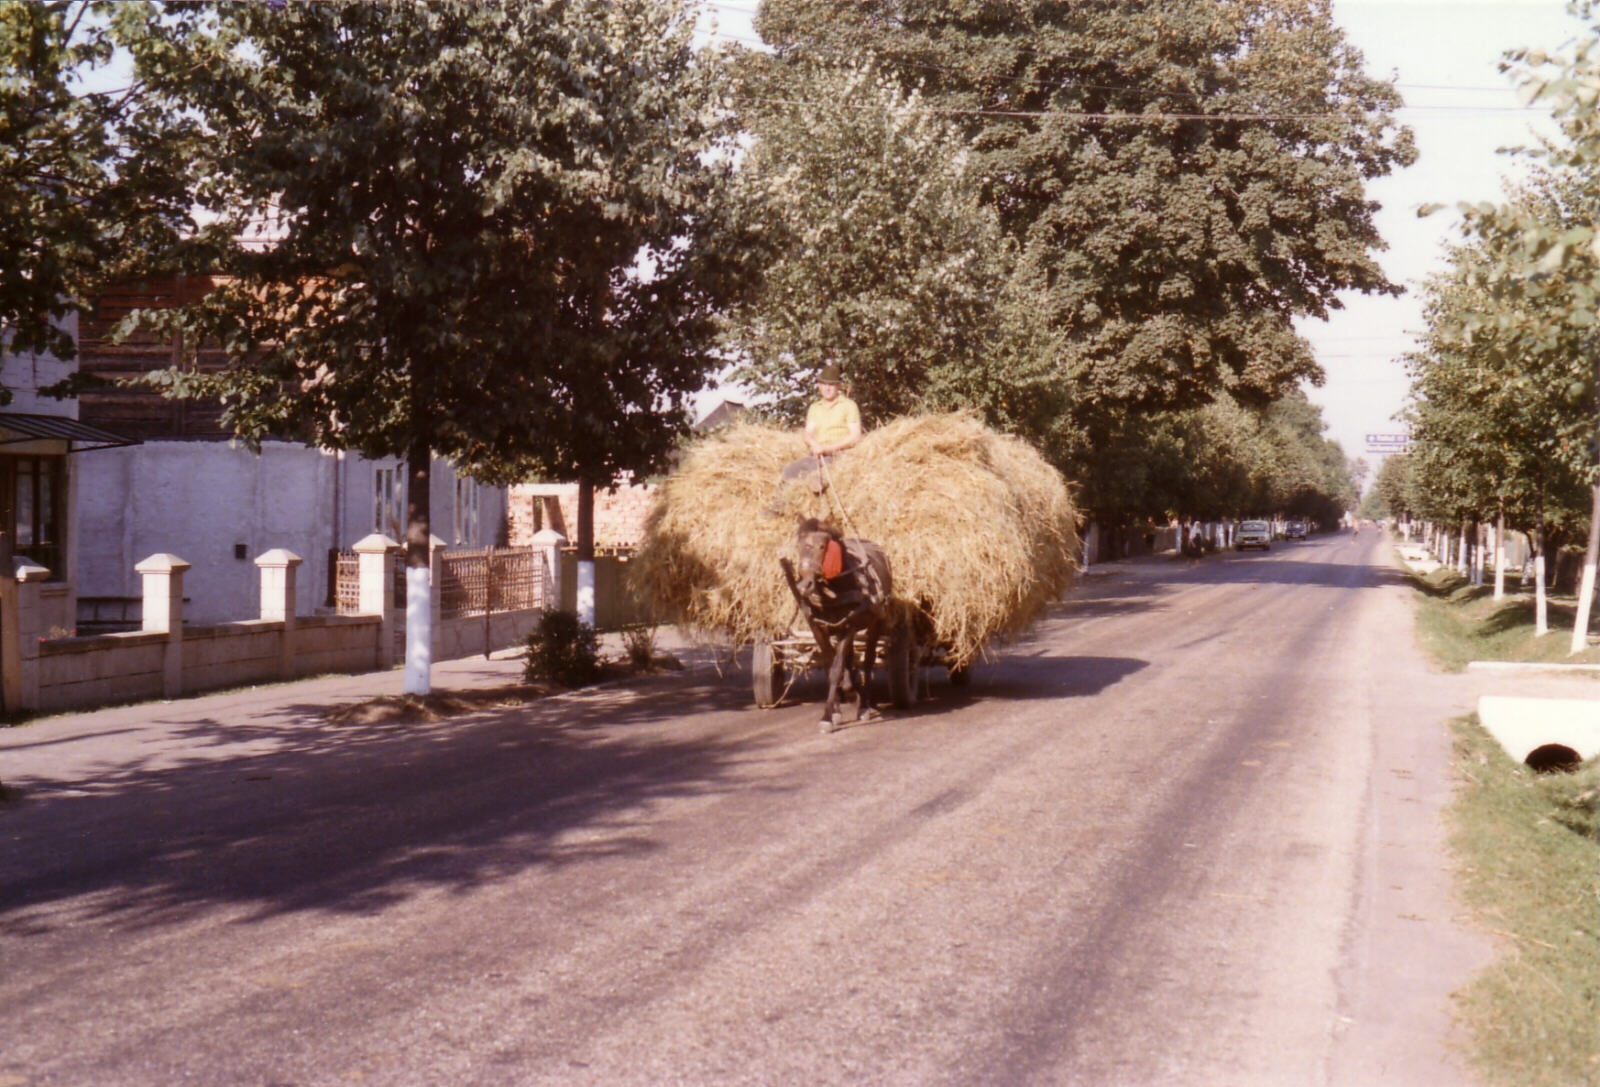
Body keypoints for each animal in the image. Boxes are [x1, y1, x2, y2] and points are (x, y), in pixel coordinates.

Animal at [780, 515, 896, 730]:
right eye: (799, 545)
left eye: (822, 547)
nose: (804, 586)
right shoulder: (818, 628)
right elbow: (830, 666)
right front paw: (834, 711)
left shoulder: (850, 626)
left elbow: (836, 670)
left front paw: (827, 717)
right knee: (850, 659)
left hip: (875, 621)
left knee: (868, 661)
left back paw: (864, 704)